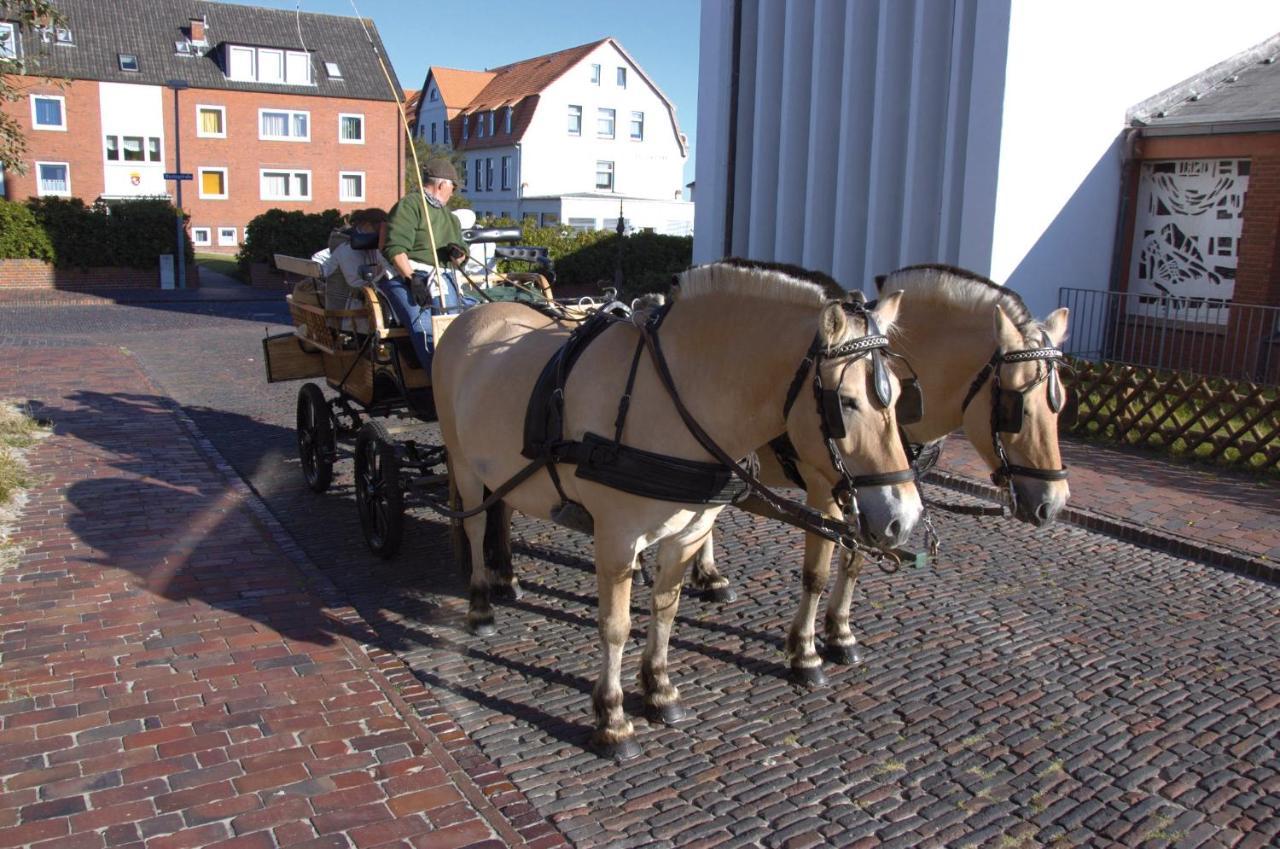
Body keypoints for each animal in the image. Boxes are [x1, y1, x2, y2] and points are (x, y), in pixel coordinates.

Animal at [430, 262, 921, 758]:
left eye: (901, 398)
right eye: (846, 402)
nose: (904, 517)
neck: (671, 400)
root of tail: (472, 316)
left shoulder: (687, 532)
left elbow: (666, 609)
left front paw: (660, 689)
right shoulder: (617, 539)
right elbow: (616, 626)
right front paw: (612, 719)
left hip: (506, 470)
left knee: (503, 512)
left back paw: (508, 580)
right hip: (464, 463)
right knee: (476, 526)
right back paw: (480, 605)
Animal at [680, 262, 1070, 686]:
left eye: (1062, 402)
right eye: (1016, 406)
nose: (1054, 503)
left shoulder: (877, 500)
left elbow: (855, 561)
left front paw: (840, 634)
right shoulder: (827, 490)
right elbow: (816, 573)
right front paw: (805, 653)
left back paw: (709, 575)